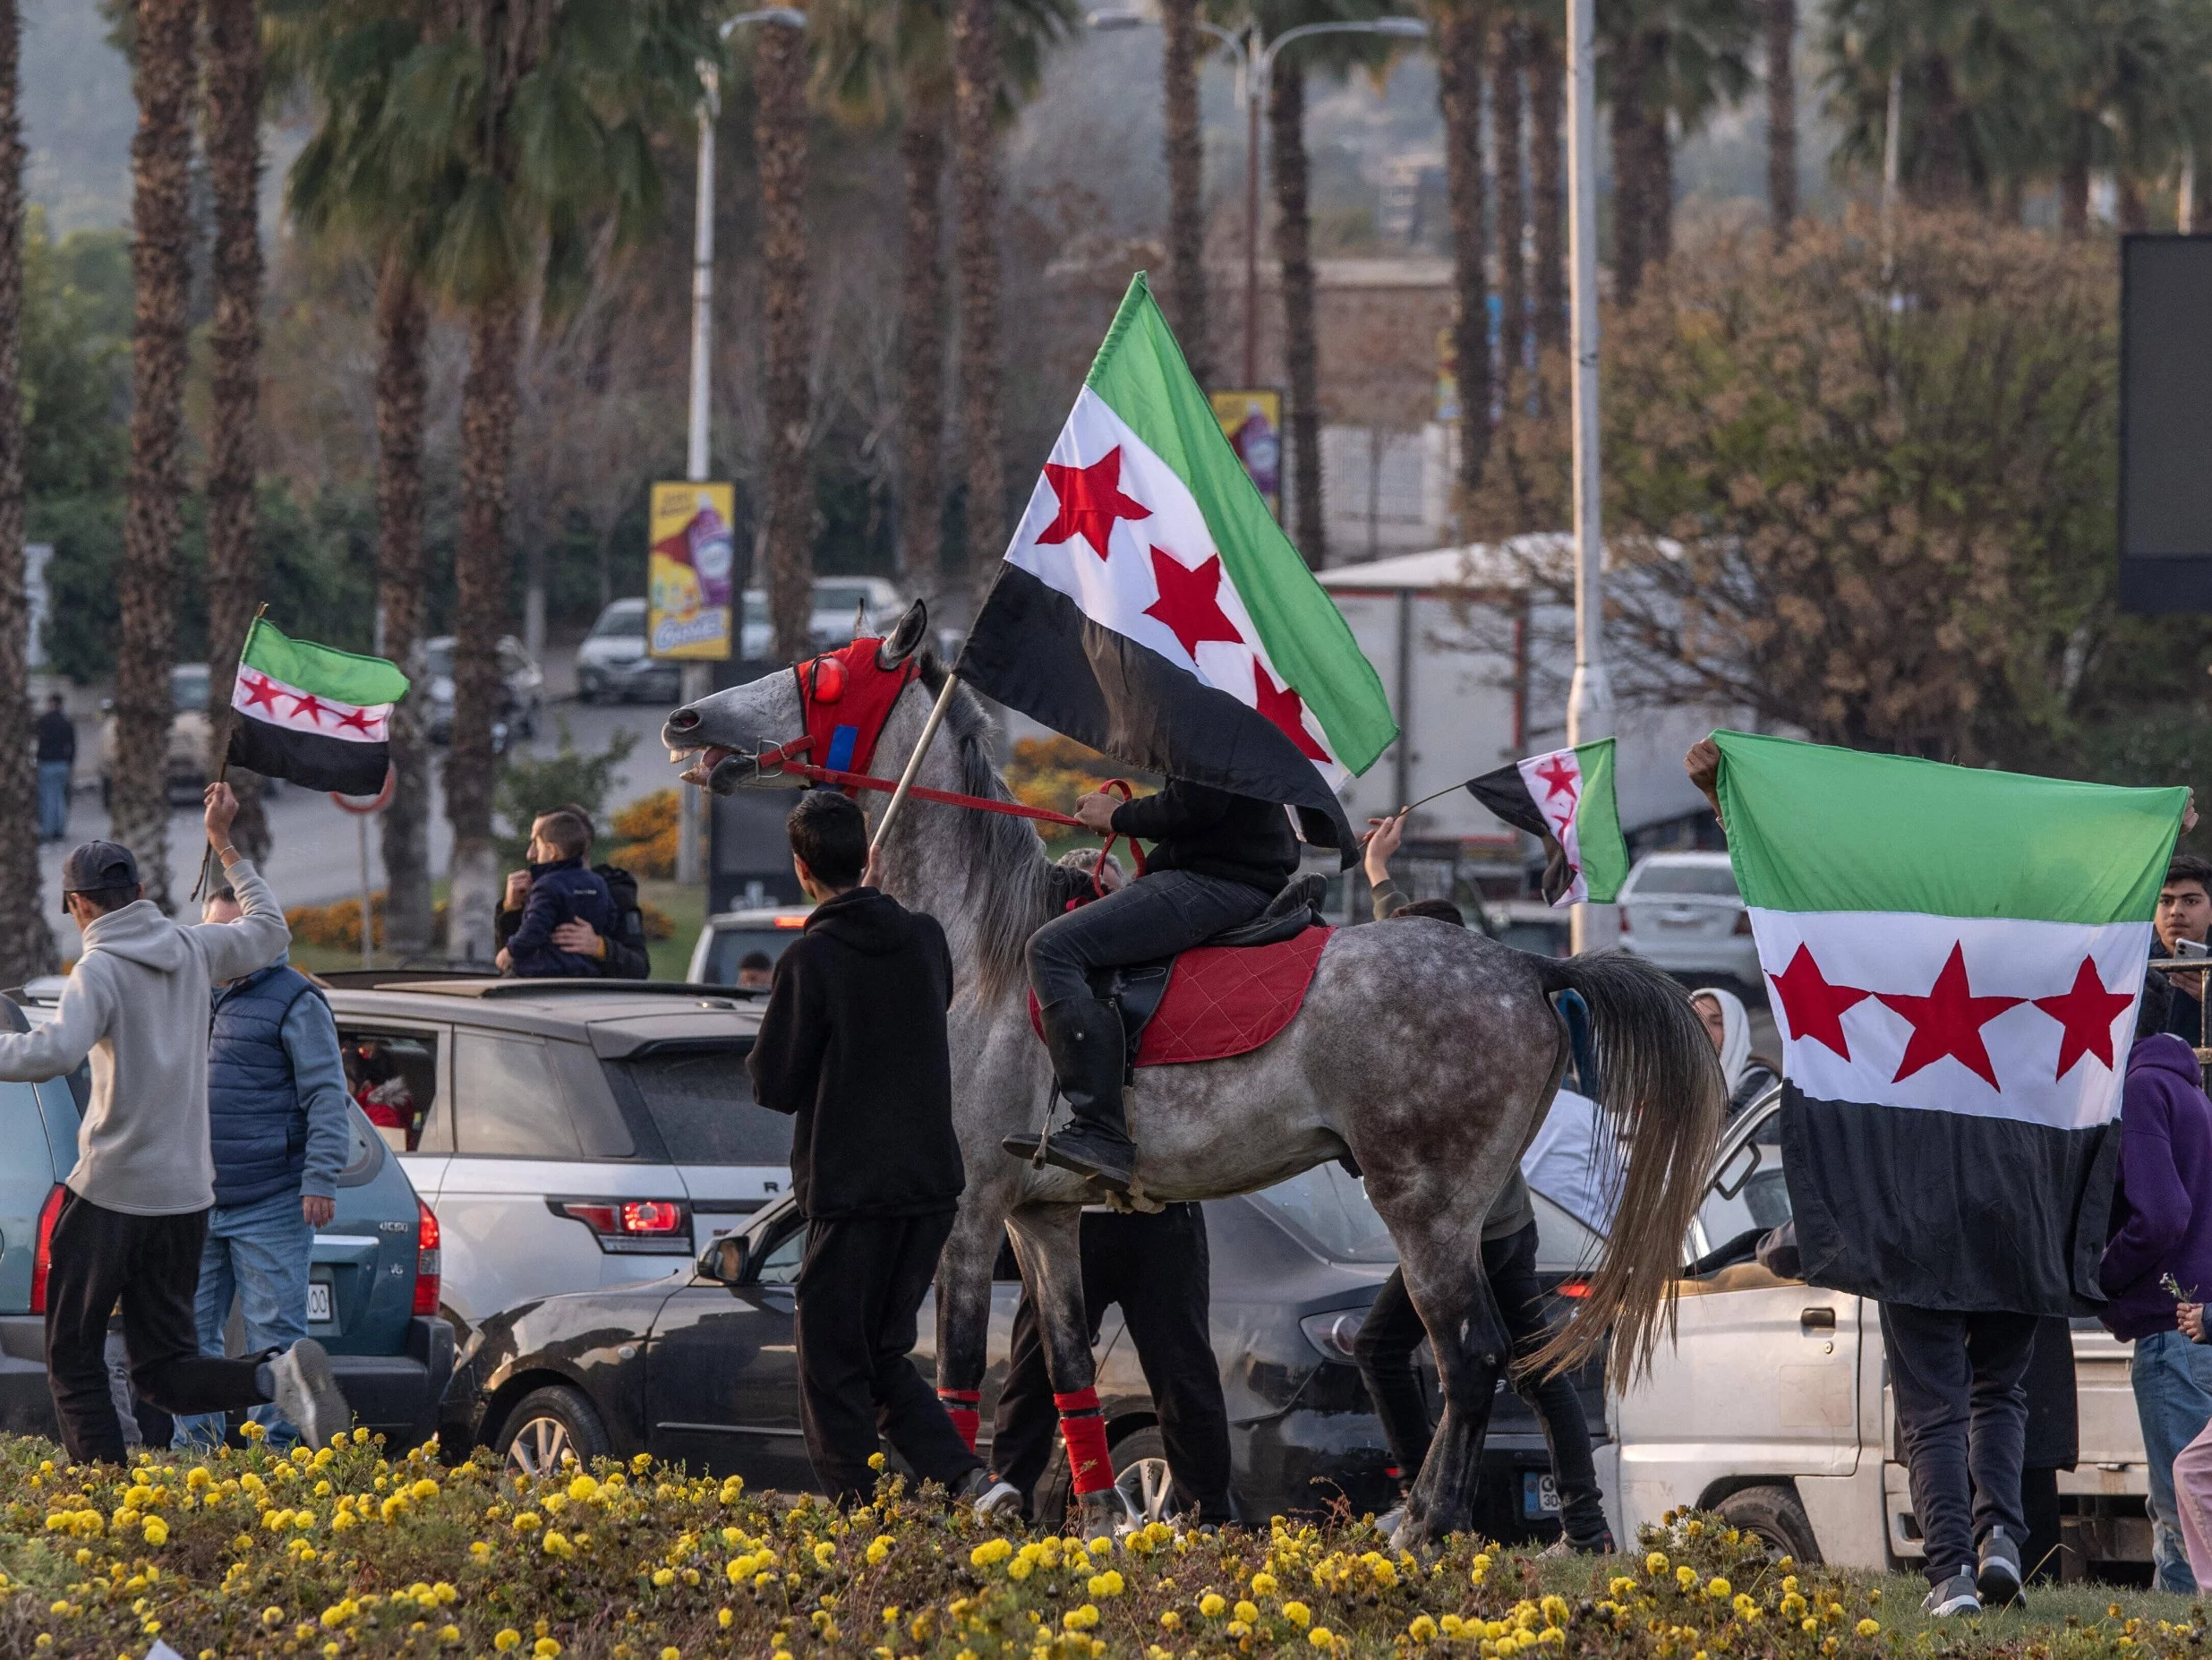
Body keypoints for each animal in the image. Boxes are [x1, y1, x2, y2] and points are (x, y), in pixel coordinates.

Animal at [659, 620, 1725, 1558]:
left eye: (825, 672)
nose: (685, 720)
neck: (981, 953)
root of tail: (1528, 970)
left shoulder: (969, 1206)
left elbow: (955, 1359)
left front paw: (966, 1504)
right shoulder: (1041, 1217)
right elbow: (1069, 1368)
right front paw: (1095, 1522)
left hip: (1421, 1208)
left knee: (1467, 1358)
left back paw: (1422, 1524)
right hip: (1477, 1206)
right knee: (1502, 1355)